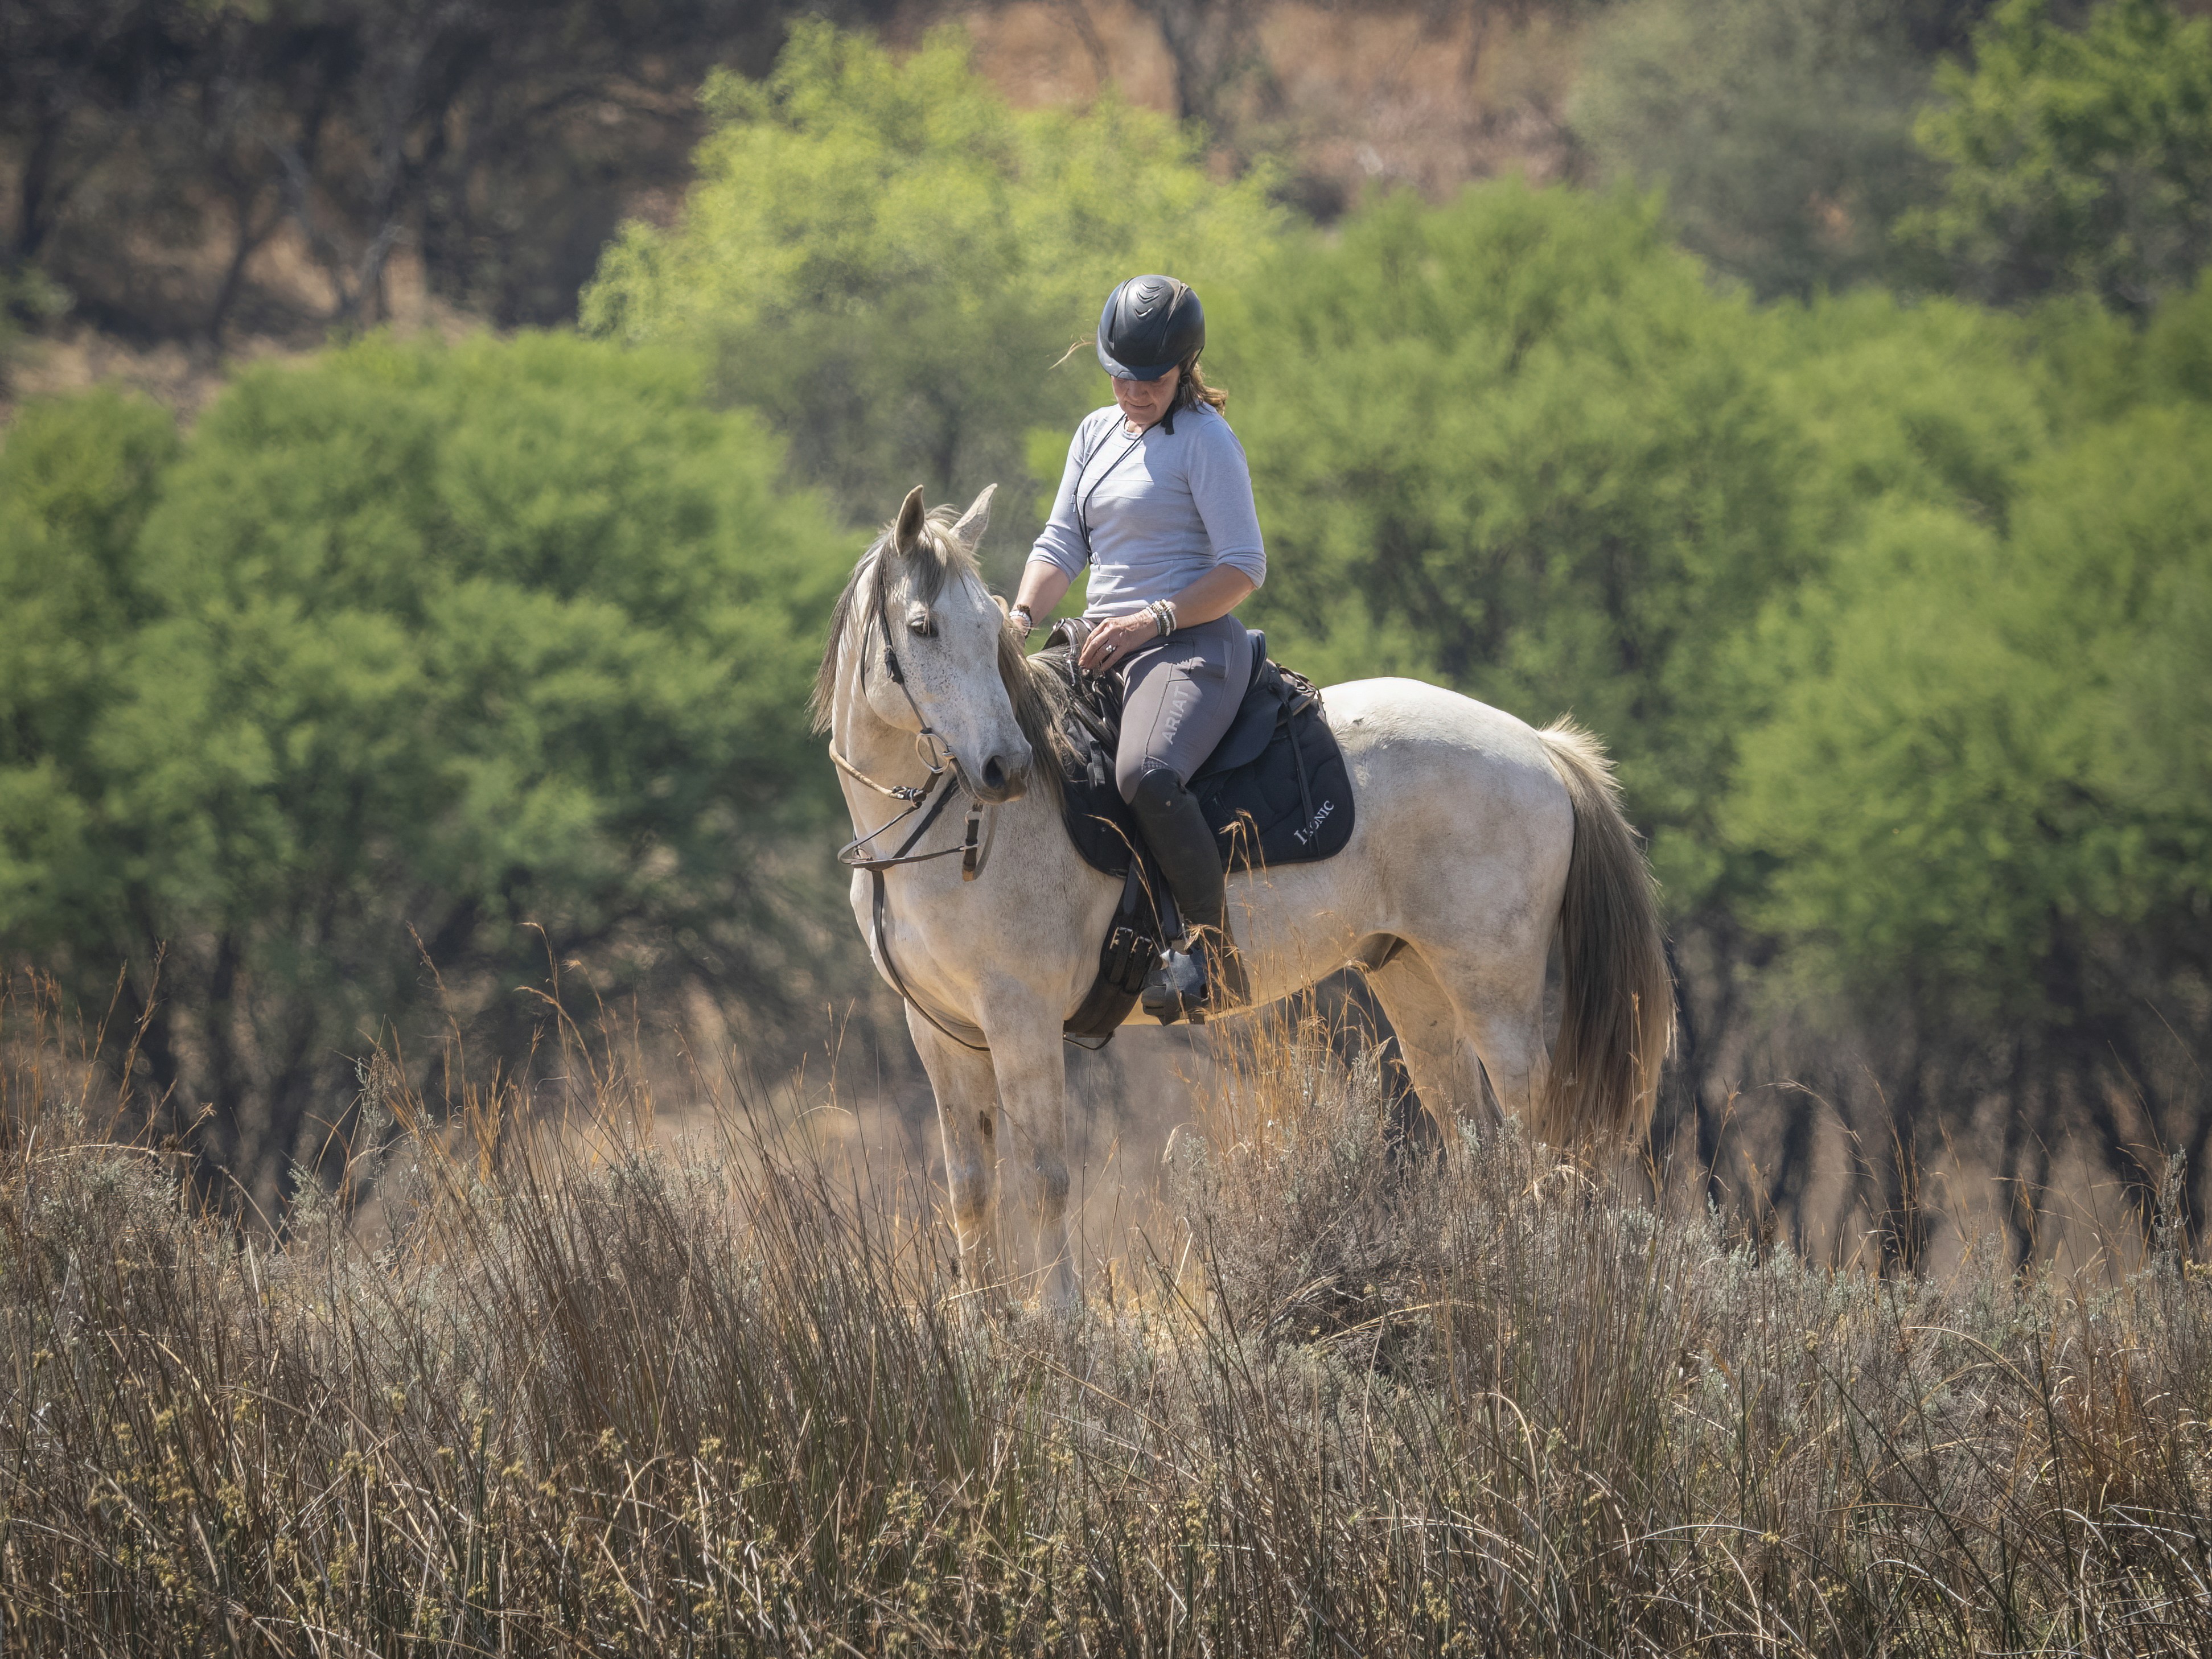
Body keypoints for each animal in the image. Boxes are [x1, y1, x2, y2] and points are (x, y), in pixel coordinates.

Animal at [816, 484, 1673, 1305]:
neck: (946, 836)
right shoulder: (943, 1032)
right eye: (922, 626)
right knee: (1478, 1144)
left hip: (1492, 991)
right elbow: (970, 1187)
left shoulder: (1020, 1019)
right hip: (1412, 979)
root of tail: (1538, 746)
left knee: (1537, 1140)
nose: (1005, 768)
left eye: (987, 625)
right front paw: (984, 1322)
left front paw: (1060, 1323)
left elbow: (1044, 1177)